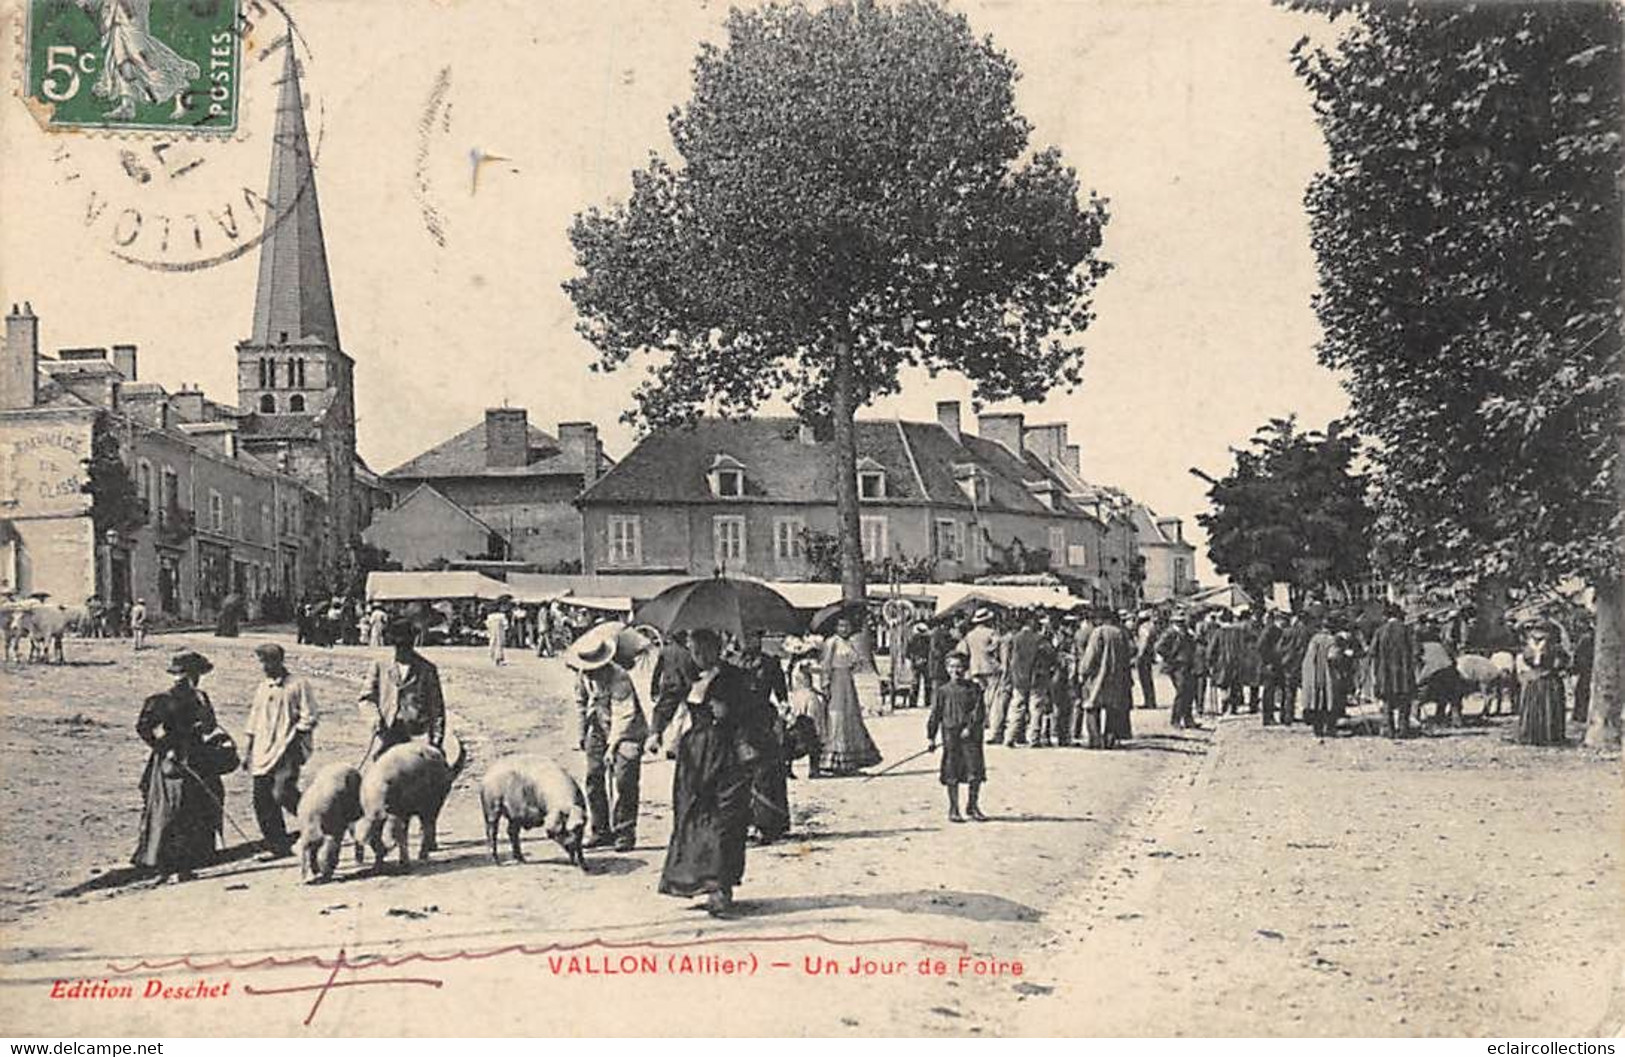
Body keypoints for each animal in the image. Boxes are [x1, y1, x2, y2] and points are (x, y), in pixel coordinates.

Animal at [360, 738, 464, 871]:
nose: (389, 844)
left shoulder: (398, 813)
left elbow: (402, 835)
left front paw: (403, 863)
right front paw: (378, 865)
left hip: (435, 801)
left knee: (428, 825)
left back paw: (423, 855)